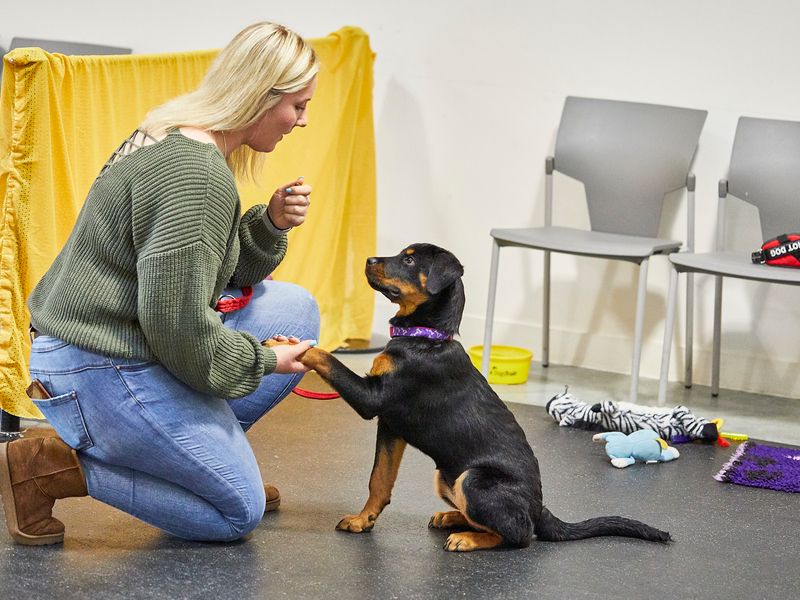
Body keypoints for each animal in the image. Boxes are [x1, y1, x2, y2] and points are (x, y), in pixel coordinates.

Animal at [300, 241, 668, 552]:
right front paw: (363, 520)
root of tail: (541, 509)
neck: (426, 337)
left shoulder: (373, 398)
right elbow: (379, 480)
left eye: (409, 260)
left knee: (519, 535)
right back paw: (452, 518)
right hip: (445, 477)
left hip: (473, 479)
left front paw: (295, 347)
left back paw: (467, 538)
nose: (368, 260)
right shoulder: (390, 425)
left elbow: (328, 359)